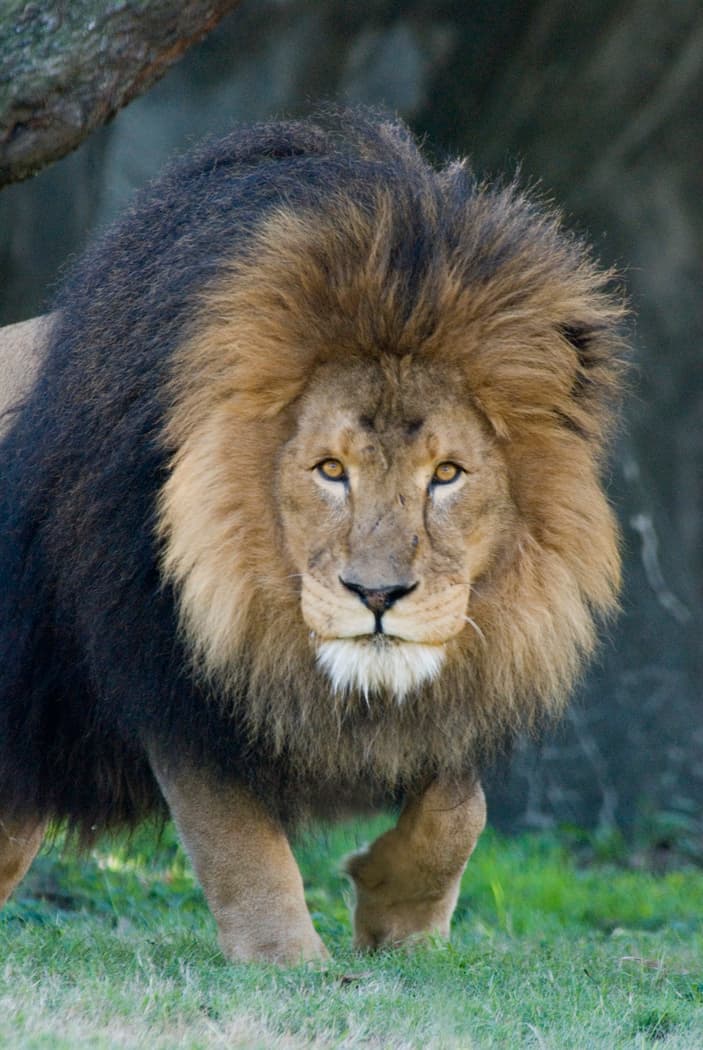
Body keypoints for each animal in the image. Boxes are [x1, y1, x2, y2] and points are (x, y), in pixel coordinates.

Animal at [0, 110, 626, 963]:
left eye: (447, 474)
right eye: (331, 470)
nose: (377, 595)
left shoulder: (456, 670)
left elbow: (460, 806)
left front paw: (400, 921)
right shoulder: (174, 670)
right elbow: (240, 842)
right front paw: (287, 964)